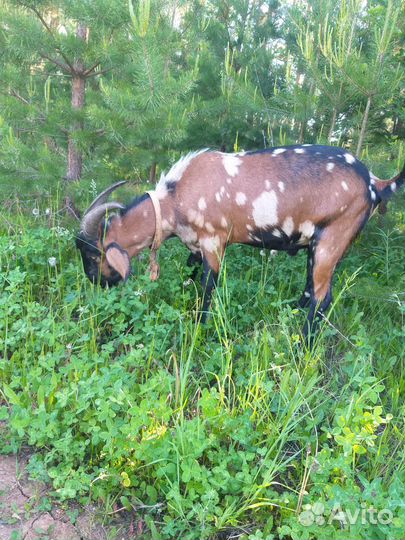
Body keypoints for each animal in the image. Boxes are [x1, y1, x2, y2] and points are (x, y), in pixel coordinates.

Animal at [76, 144, 404, 342]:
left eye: (93, 256)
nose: (94, 282)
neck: (174, 198)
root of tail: (374, 182)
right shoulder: (195, 245)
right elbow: (191, 275)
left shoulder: (213, 240)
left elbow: (208, 286)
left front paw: (199, 327)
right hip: (321, 245)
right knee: (314, 289)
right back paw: (291, 314)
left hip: (333, 237)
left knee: (323, 298)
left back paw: (302, 344)